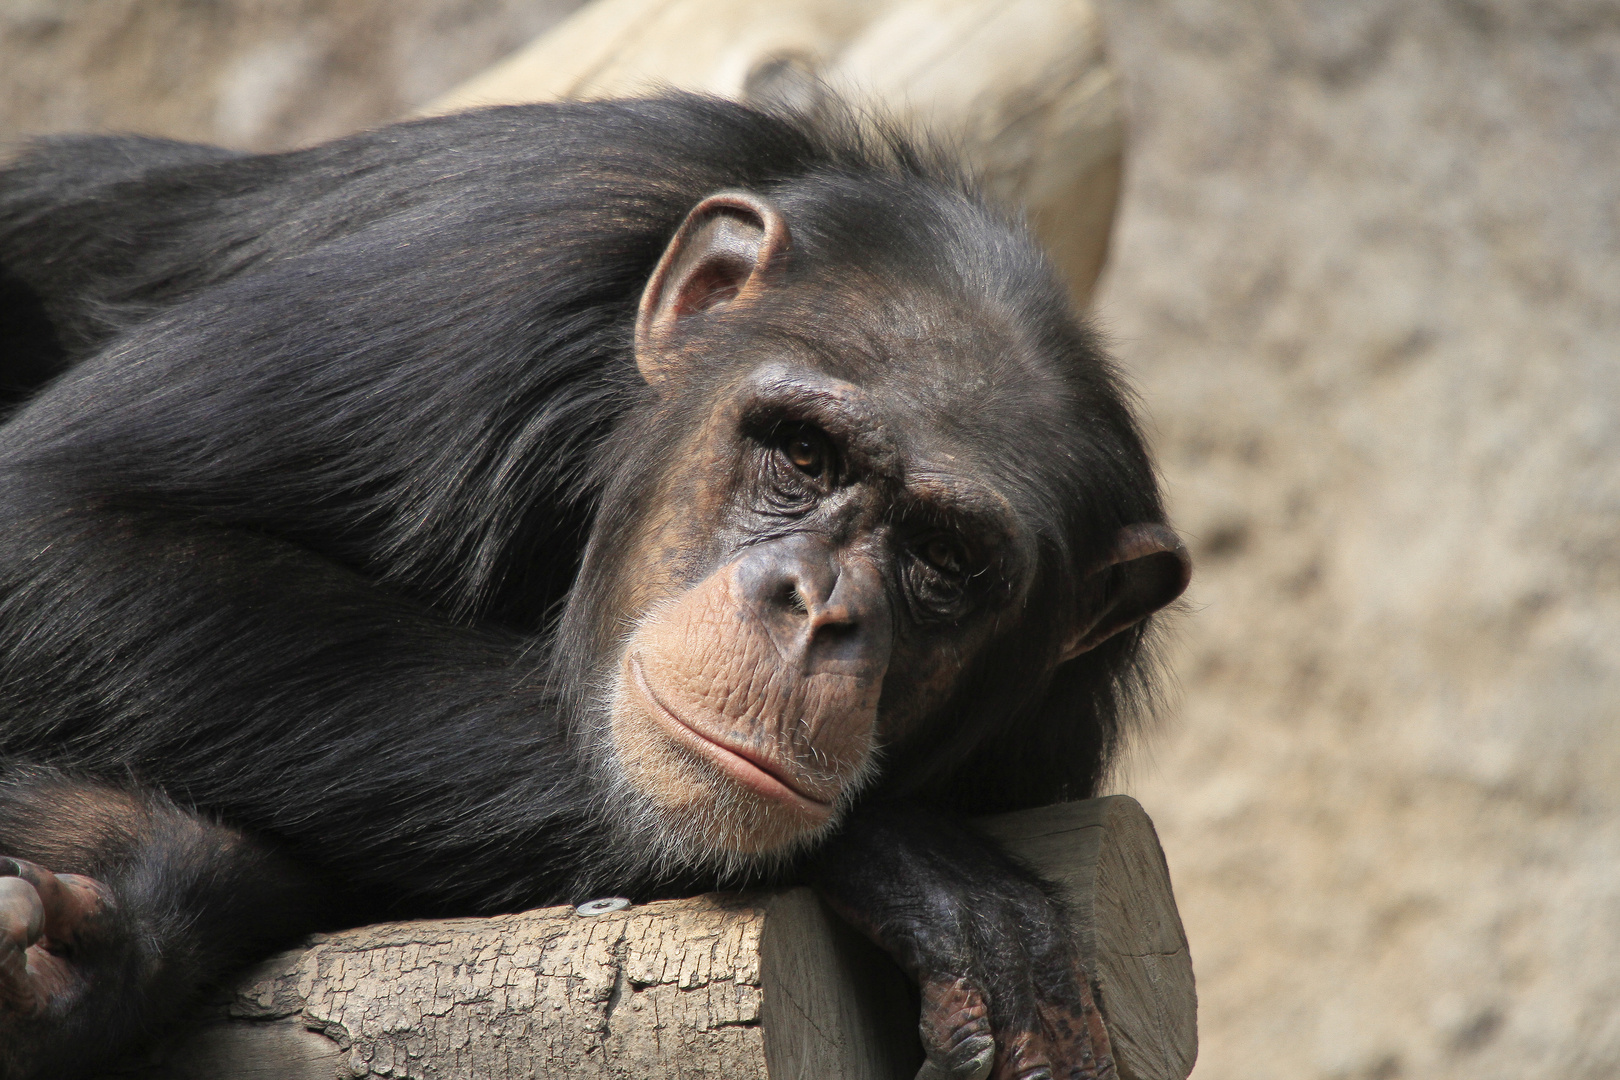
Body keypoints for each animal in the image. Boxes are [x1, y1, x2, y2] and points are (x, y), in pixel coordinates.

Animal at [0, 95, 1192, 1080]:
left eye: (946, 558)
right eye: (805, 455)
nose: (818, 606)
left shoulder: (1044, 745)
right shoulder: (503, 272)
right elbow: (65, 524)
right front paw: (929, 872)